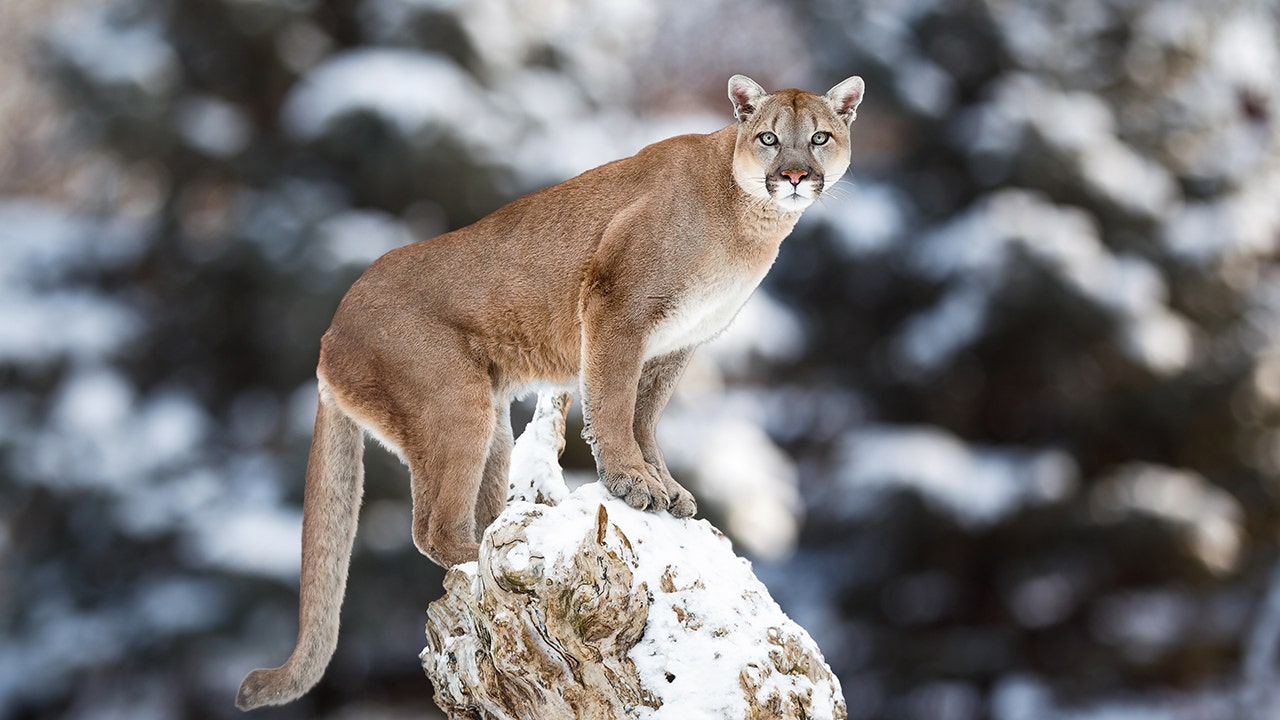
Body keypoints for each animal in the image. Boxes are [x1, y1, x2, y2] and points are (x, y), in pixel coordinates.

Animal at [235, 73, 865, 707]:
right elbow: (613, 405)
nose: (794, 174)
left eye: (818, 137)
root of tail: (329, 333)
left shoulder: (674, 346)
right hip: (456, 405)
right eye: (768, 138)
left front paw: (664, 487)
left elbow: (645, 419)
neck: (747, 217)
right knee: (431, 527)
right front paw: (631, 482)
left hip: (492, 426)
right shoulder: (618, 309)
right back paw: (490, 559)